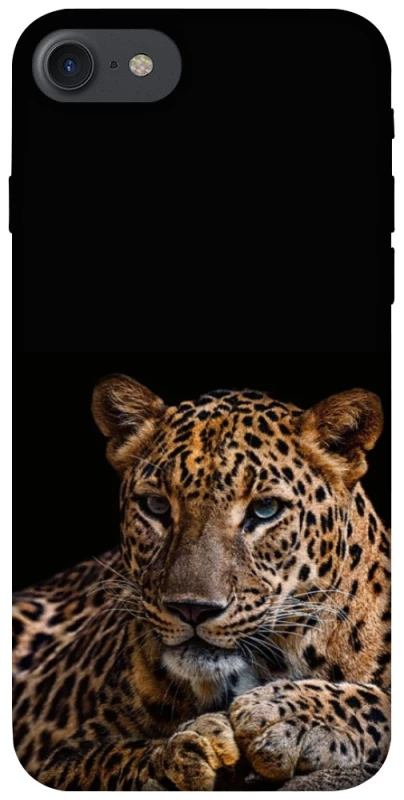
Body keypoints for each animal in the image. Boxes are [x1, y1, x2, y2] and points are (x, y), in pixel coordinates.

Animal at [13, 374, 391, 791]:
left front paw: (285, 715)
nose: (191, 608)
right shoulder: (62, 760)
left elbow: (379, 701)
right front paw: (186, 753)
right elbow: (116, 760)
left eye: (265, 510)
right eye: (156, 506)